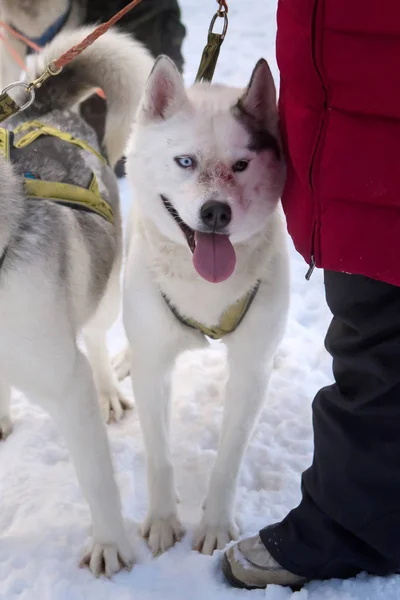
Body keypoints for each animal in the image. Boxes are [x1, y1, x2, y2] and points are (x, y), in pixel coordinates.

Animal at [0, 28, 153, 576]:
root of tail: (41, 104)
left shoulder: (66, 382)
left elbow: (97, 478)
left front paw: (110, 543)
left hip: (102, 292)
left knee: (96, 337)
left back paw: (110, 392)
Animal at [121, 55, 288, 552]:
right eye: (185, 161)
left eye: (241, 164)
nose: (216, 211)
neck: (205, 289)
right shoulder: (154, 366)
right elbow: (159, 453)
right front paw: (161, 519)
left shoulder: (251, 371)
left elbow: (229, 458)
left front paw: (214, 523)